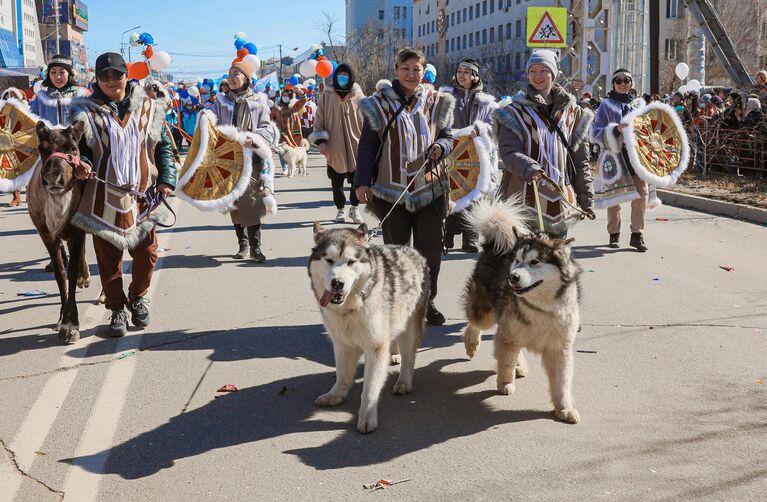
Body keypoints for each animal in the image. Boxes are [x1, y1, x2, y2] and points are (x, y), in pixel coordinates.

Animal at [308, 223, 428, 432]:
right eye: (328, 260)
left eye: (351, 262)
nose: (337, 283)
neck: (349, 309)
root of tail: (410, 249)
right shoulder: (342, 344)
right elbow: (342, 375)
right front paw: (336, 395)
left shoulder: (375, 347)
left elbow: (370, 389)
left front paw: (367, 416)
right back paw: (394, 354)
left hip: (410, 326)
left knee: (409, 357)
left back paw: (404, 381)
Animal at [462, 199, 584, 424]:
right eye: (517, 261)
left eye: (535, 262)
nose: (512, 277)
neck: (542, 307)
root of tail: (494, 245)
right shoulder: (509, 331)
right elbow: (506, 361)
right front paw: (505, 383)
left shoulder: (559, 347)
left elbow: (562, 381)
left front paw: (564, 408)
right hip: (486, 313)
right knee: (475, 323)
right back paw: (471, 343)